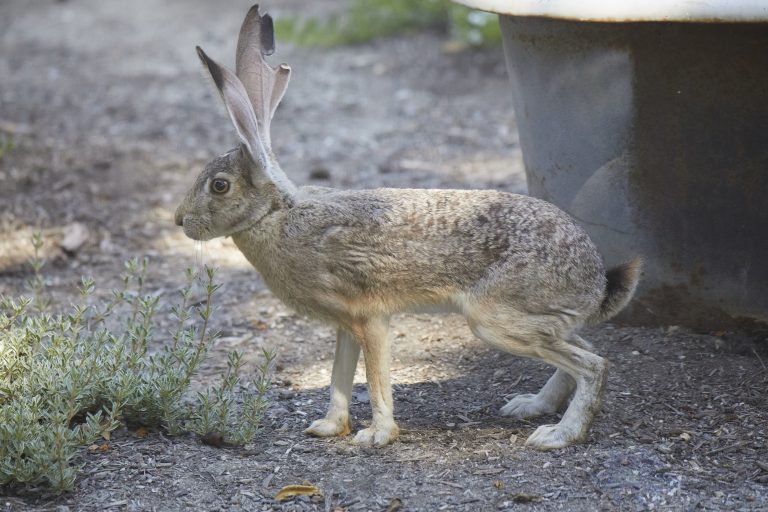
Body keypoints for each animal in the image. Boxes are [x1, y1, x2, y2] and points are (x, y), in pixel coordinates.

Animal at [175, 4, 642, 450]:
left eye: (219, 186)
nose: (180, 221)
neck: (279, 215)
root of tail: (595, 281)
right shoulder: (345, 324)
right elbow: (339, 376)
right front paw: (329, 428)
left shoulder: (369, 318)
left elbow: (376, 380)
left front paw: (376, 436)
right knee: (584, 350)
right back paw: (531, 406)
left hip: (496, 321)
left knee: (594, 365)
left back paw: (559, 435)